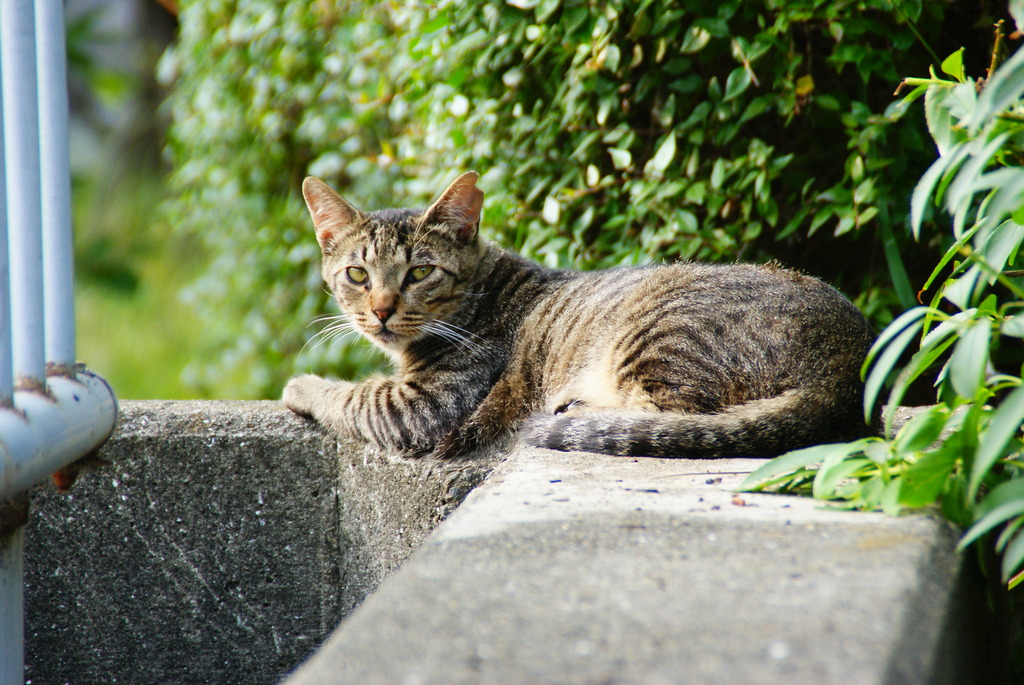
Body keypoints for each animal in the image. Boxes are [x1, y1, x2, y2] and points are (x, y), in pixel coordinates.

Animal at [284, 172, 876, 458]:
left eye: (420, 272)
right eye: (357, 275)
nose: (382, 310)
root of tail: (849, 364)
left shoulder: (428, 404)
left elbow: (353, 396)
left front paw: (301, 386)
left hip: (661, 339)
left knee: (676, 418)